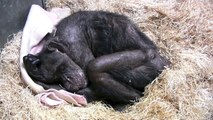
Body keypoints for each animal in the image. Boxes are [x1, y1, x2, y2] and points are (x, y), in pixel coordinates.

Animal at [23, 10, 170, 106]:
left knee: (95, 67)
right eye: (55, 78)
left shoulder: (75, 46)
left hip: (150, 63)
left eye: (61, 68)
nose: (68, 79)